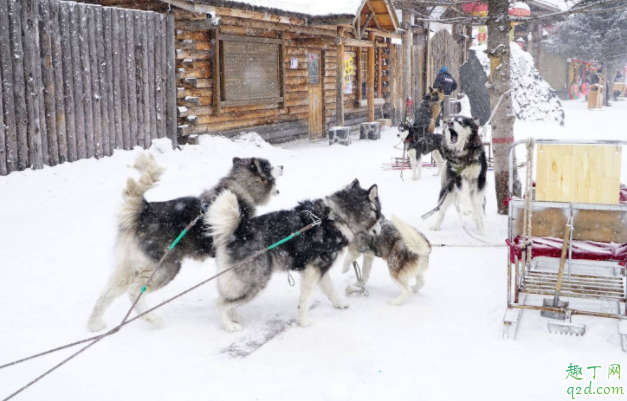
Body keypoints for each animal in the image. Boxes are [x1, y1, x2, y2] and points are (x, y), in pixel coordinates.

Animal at [87, 152, 284, 330]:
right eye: (269, 166)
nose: (282, 166)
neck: (239, 189)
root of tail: (143, 211)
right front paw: (232, 316)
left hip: (128, 268)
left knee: (106, 294)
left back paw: (94, 325)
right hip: (167, 267)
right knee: (135, 291)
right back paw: (152, 319)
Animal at [209, 178, 380, 332]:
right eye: (380, 214)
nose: (380, 232)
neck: (336, 217)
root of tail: (238, 232)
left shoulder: (320, 268)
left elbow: (330, 288)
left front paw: (339, 303)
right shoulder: (313, 271)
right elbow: (305, 300)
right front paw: (303, 321)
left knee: (227, 297)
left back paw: (234, 317)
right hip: (254, 281)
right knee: (219, 302)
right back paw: (229, 325)